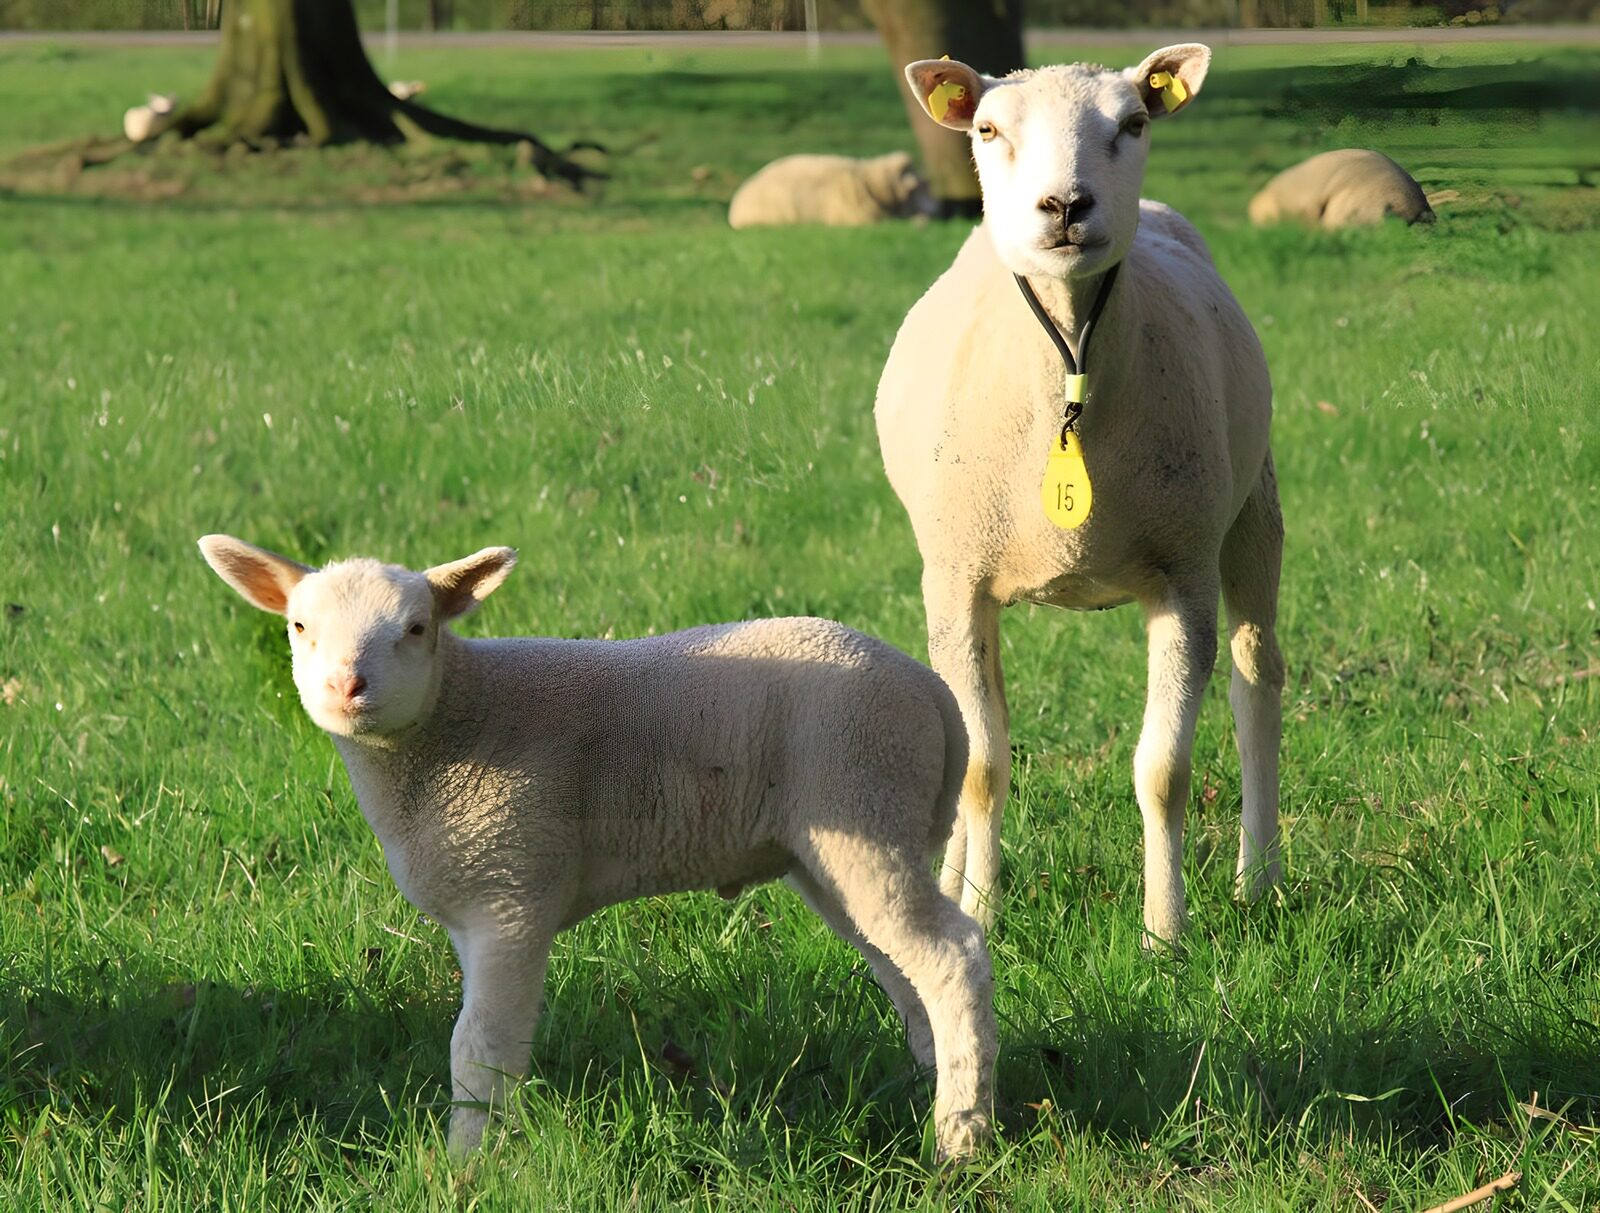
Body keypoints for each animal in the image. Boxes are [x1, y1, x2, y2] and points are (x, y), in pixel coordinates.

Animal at [197, 534, 996, 1161]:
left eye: (418, 627)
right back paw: (937, 1086)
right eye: (299, 625)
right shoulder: (476, 904)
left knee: (952, 953)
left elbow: (480, 1046)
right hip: (837, 842)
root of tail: (932, 694)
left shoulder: (512, 887)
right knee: (905, 967)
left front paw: (467, 1163)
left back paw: (959, 1138)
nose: (347, 685)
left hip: (862, 791)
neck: (454, 721)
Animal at [876, 45, 1283, 945]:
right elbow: (982, 766)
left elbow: (1164, 770)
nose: (1065, 204)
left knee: (1257, 683)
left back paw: (1262, 879)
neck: (1068, 357)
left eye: (1132, 123)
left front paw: (1165, 934)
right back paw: (950, 879)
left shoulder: (1182, 577)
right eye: (988, 131)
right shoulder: (956, 581)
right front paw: (980, 915)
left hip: (1251, 510)